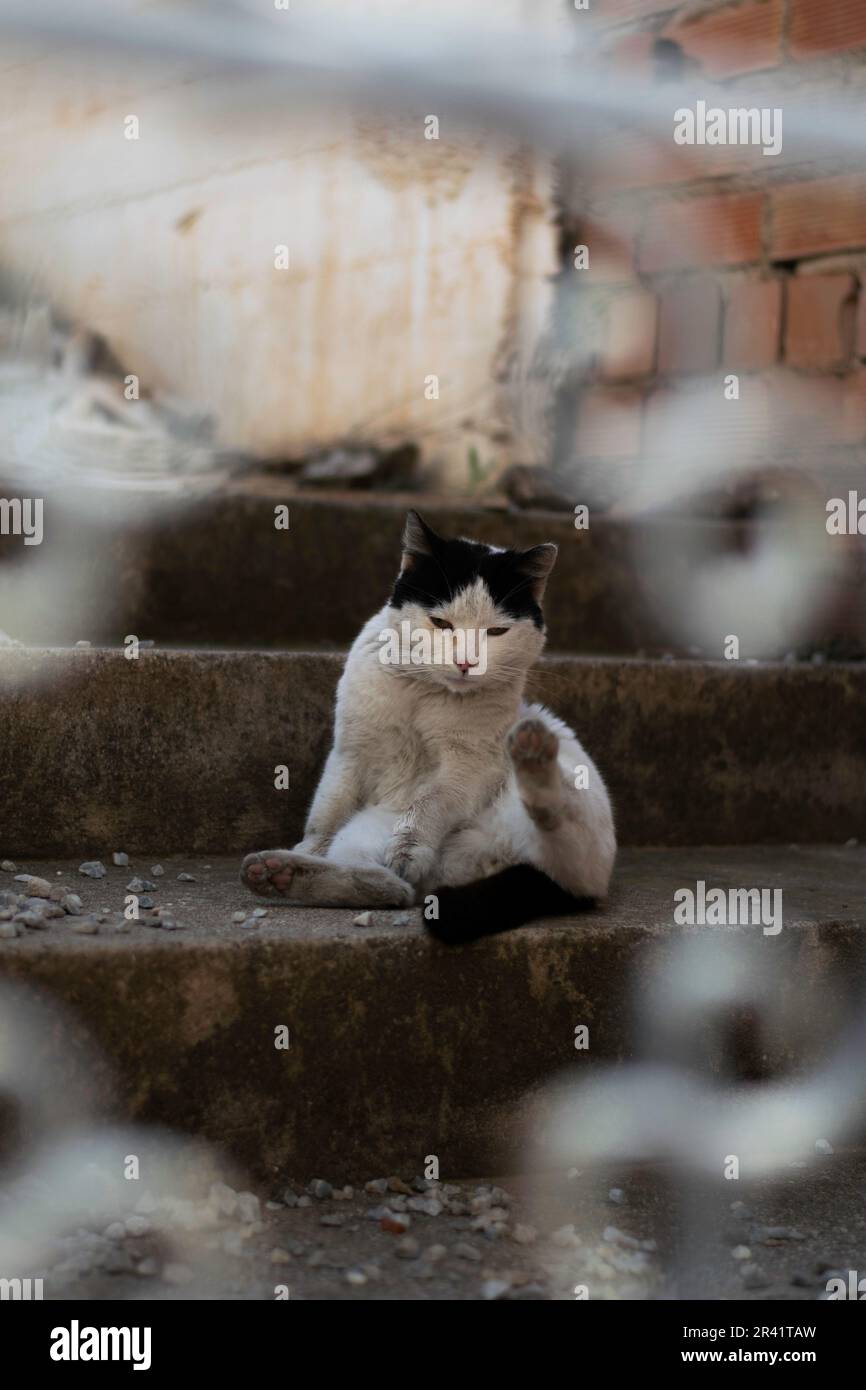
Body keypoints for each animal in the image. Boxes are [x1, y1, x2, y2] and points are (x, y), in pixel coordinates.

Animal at [240, 511, 614, 945]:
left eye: (496, 632)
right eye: (440, 622)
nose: (467, 662)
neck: (424, 693)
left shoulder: (468, 767)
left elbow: (428, 802)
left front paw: (409, 848)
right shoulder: (350, 753)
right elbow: (326, 814)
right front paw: (309, 849)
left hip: (575, 805)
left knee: (553, 819)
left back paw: (532, 755)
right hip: (364, 832)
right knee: (388, 885)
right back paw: (279, 871)